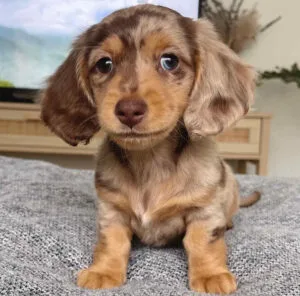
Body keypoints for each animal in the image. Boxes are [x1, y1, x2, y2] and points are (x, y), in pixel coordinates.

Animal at [41, 4, 258, 294]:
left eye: (170, 61)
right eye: (104, 64)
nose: (128, 110)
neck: (150, 160)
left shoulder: (204, 211)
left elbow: (203, 242)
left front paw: (211, 275)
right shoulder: (112, 210)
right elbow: (111, 241)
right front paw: (103, 271)